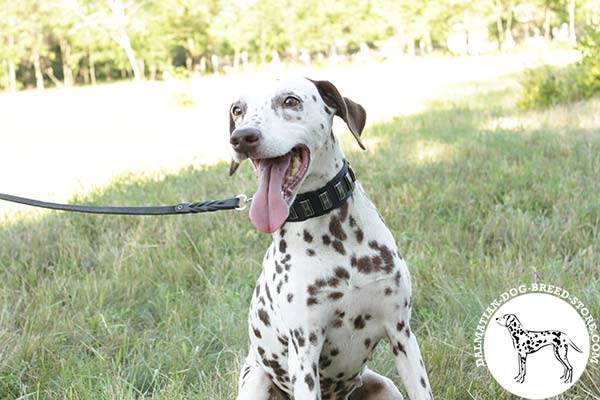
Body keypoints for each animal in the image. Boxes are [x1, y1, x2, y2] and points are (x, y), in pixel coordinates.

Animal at [229, 76, 432, 400]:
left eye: (290, 101)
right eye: (237, 109)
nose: (242, 137)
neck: (335, 238)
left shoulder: (402, 334)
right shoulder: (304, 352)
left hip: (384, 385)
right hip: (257, 380)